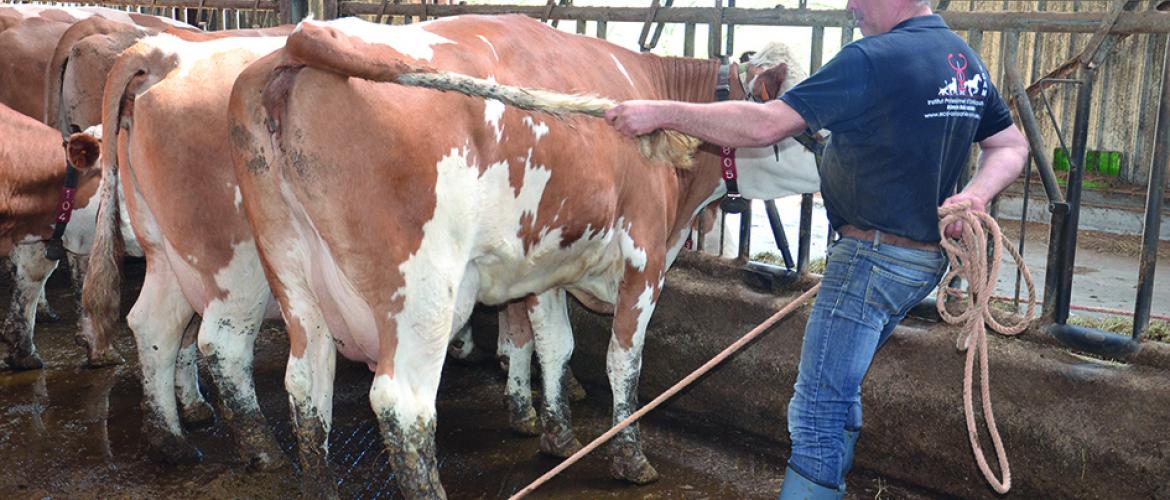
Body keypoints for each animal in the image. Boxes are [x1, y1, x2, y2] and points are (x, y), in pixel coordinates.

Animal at [229, 14, 814, 496]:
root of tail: (306, 35)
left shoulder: (546, 266)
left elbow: (556, 346)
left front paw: (558, 435)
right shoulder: (644, 259)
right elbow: (623, 362)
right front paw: (630, 459)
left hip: (294, 279)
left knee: (307, 384)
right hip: (421, 291)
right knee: (403, 404)